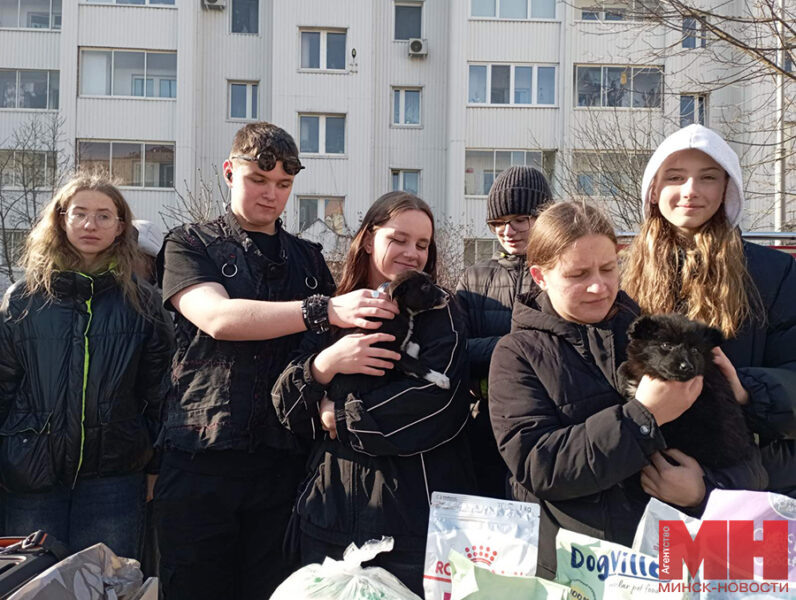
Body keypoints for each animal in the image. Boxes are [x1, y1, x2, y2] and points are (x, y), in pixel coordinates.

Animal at [327, 270, 451, 403]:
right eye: (425, 286)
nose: (448, 296)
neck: (400, 310)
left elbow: (413, 349)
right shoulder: (388, 351)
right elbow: (413, 363)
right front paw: (439, 378)